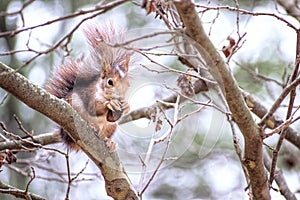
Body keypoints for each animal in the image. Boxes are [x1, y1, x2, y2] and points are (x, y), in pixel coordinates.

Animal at [45, 23, 132, 151]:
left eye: (128, 84)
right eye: (110, 82)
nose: (120, 97)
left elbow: (112, 117)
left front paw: (126, 106)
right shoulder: (89, 94)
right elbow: (93, 108)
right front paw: (109, 104)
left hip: (111, 127)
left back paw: (109, 141)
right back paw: (92, 126)